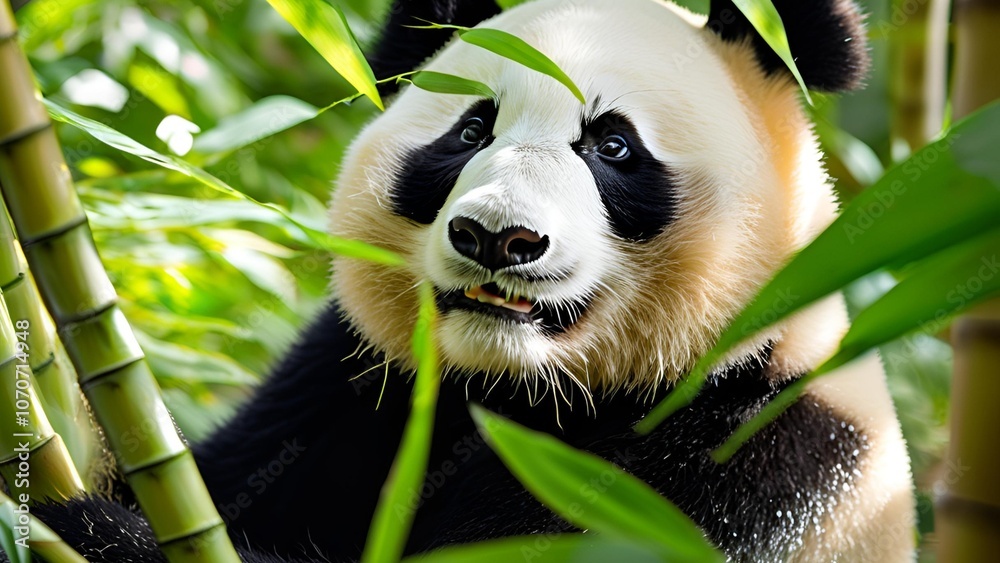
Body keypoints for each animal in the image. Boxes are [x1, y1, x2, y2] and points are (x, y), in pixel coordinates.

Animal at [32, 0, 916, 561]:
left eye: (613, 145)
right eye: (470, 130)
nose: (497, 237)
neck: (519, 390)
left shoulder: (739, 462)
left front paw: (93, 530)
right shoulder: (355, 381)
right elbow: (225, 475)